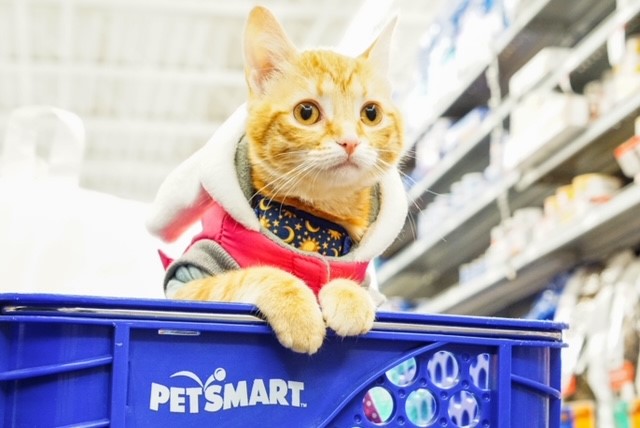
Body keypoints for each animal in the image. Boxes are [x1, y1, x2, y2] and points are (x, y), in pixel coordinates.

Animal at [165, 6, 404, 354]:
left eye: (370, 113)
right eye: (306, 112)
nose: (350, 141)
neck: (315, 227)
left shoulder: (374, 289)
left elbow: (353, 283)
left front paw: (349, 295)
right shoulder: (185, 285)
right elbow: (256, 274)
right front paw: (298, 308)